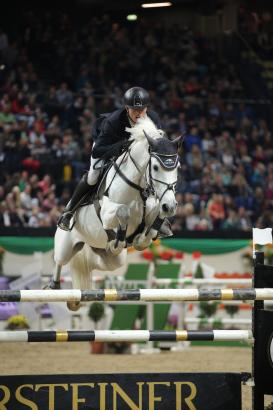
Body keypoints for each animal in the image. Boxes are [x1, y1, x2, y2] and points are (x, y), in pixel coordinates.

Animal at [48, 117, 181, 310]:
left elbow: (154, 219)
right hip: (65, 246)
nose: (170, 206)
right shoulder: (106, 214)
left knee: (97, 262)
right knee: (59, 261)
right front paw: (120, 239)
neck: (138, 186)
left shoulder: (154, 207)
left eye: (177, 167)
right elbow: (123, 211)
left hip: (111, 259)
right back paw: (55, 287)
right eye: (155, 167)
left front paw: (141, 239)